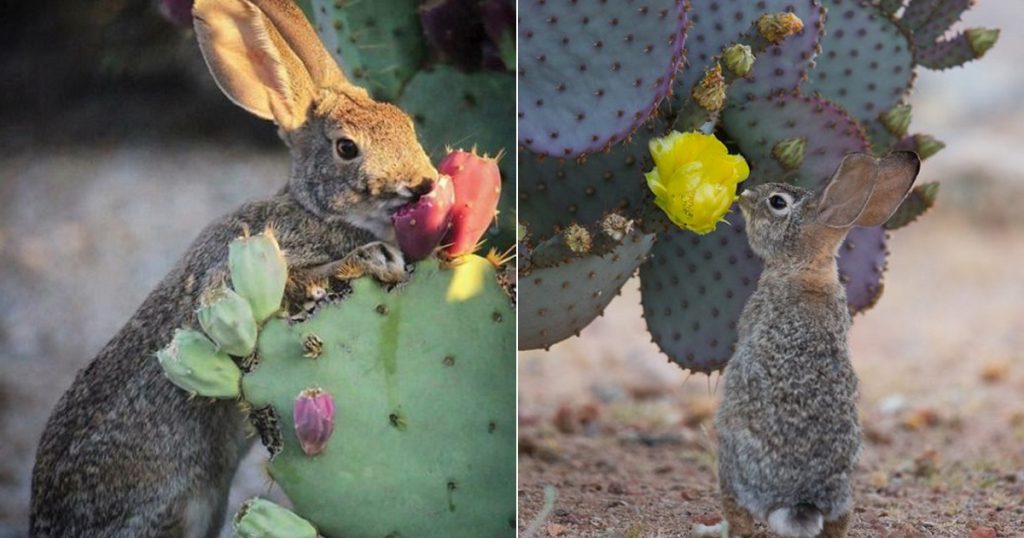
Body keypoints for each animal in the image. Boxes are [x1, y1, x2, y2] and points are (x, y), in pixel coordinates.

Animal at [29, 0, 438, 536]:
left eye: (405, 122)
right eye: (347, 148)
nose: (423, 183)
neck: (316, 211)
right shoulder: (238, 272)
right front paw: (376, 260)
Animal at [714, 151, 921, 538]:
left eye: (777, 202)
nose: (745, 195)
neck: (805, 267)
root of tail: (801, 499)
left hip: (730, 463)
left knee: (739, 518)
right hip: (845, 496)